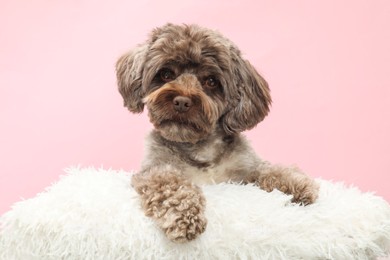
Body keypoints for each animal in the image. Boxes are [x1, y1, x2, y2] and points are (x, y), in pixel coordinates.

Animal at [116, 23, 320, 243]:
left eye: (211, 81)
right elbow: (169, 183)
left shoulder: (243, 173)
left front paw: (298, 183)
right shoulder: (153, 170)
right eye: (166, 74)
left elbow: (267, 169)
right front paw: (183, 214)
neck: (200, 149)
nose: (181, 101)